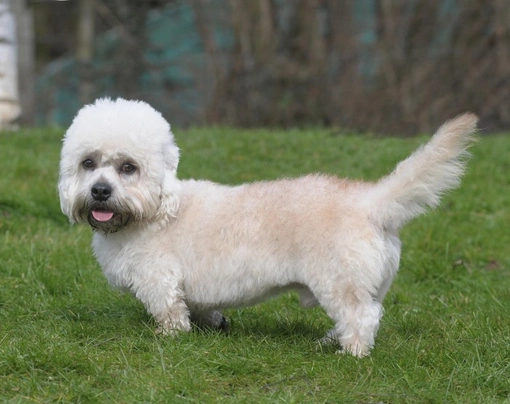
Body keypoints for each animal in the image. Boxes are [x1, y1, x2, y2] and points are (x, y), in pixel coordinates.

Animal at [59, 98, 478, 356]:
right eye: (88, 163)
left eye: (128, 167)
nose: (100, 191)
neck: (156, 209)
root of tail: (370, 201)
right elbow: (200, 308)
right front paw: (213, 323)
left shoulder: (158, 281)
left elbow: (170, 313)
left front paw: (168, 336)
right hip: (367, 282)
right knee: (362, 313)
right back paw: (333, 340)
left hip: (339, 283)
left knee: (363, 317)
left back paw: (352, 351)